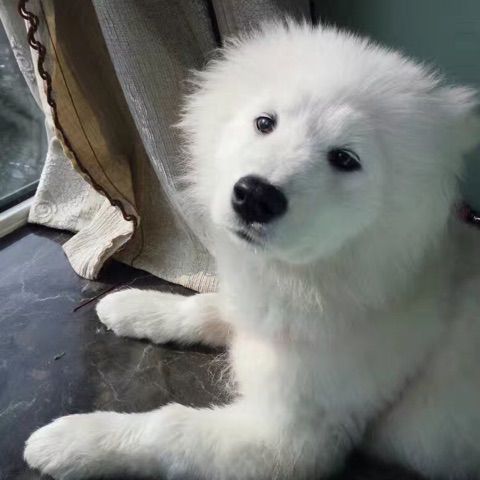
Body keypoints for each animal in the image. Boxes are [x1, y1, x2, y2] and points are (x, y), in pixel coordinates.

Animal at [25, 21, 480, 480]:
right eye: (265, 123)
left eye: (345, 158)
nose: (256, 196)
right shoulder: (257, 310)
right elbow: (206, 307)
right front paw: (136, 307)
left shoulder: (290, 441)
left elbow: (167, 428)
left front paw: (73, 440)